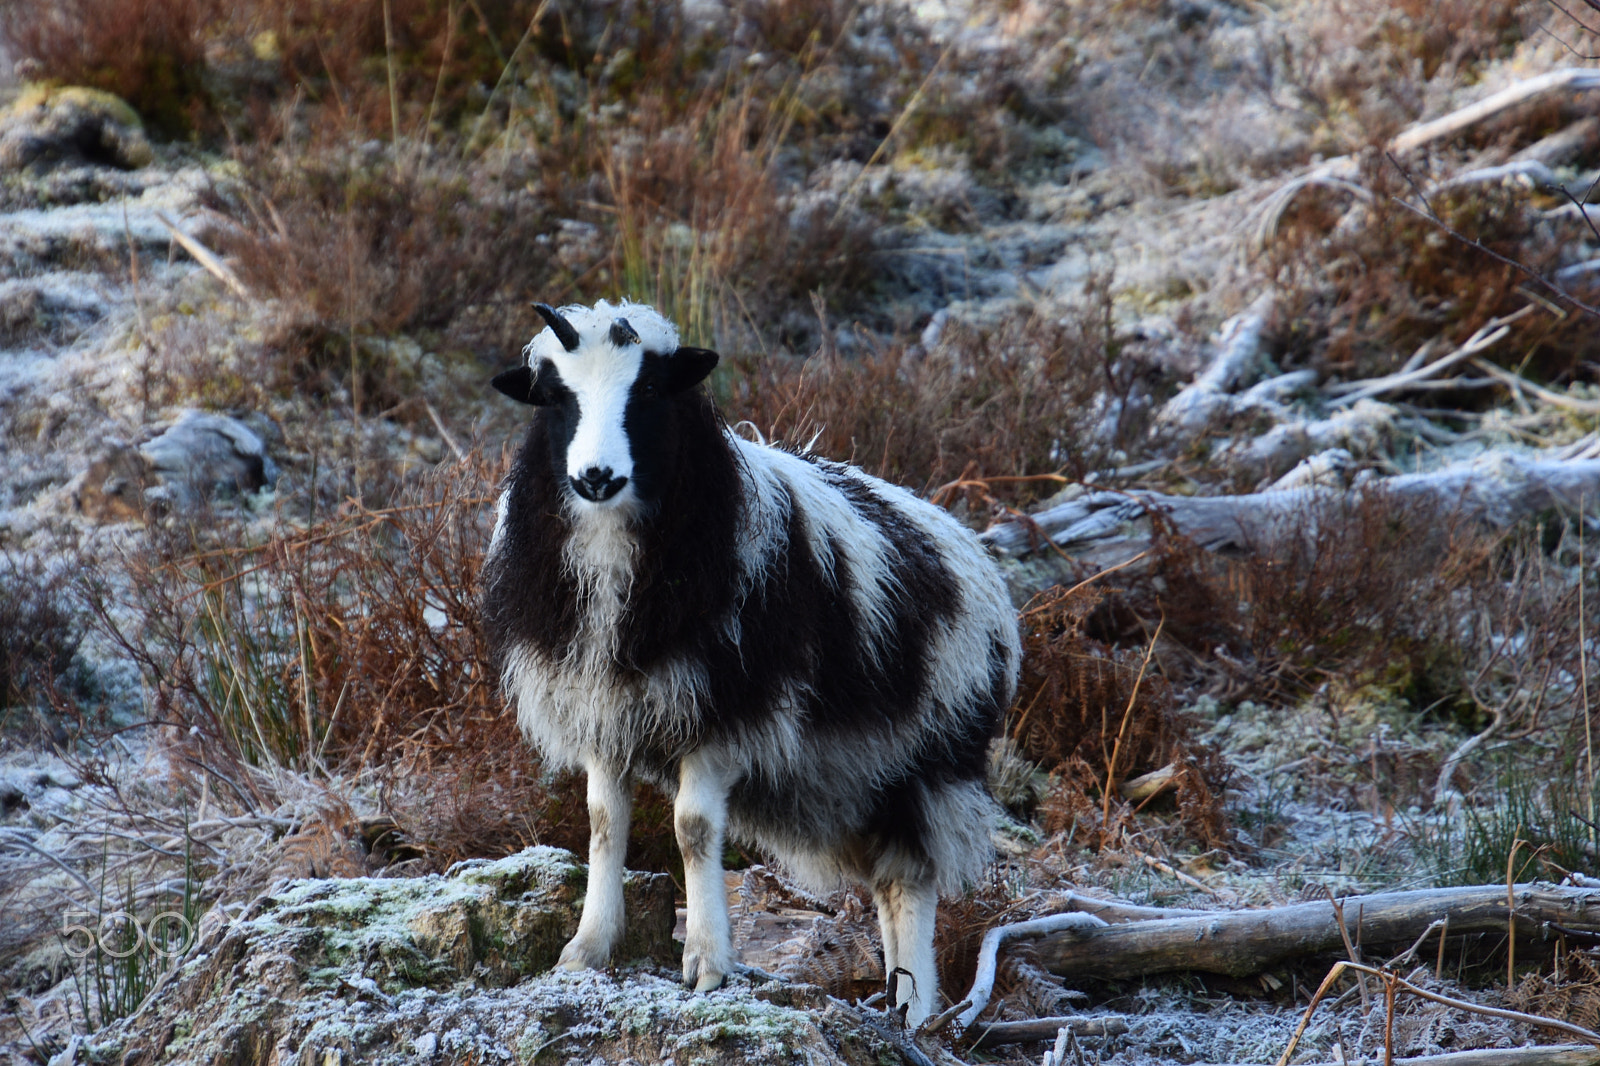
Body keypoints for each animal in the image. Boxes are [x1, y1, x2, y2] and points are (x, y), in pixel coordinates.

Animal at [481, 299, 1020, 1025]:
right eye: (557, 397)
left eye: (649, 392)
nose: (595, 477)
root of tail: (968, 544)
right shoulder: (606, 711)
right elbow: (603, 826)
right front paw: (586, 949)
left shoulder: (725, 714)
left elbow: (693, 829)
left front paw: (708, 961)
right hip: (856, 778)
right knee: (885, 883)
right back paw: (893, 999)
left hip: (928, 761)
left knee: (911, 882)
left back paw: (914, 1008)